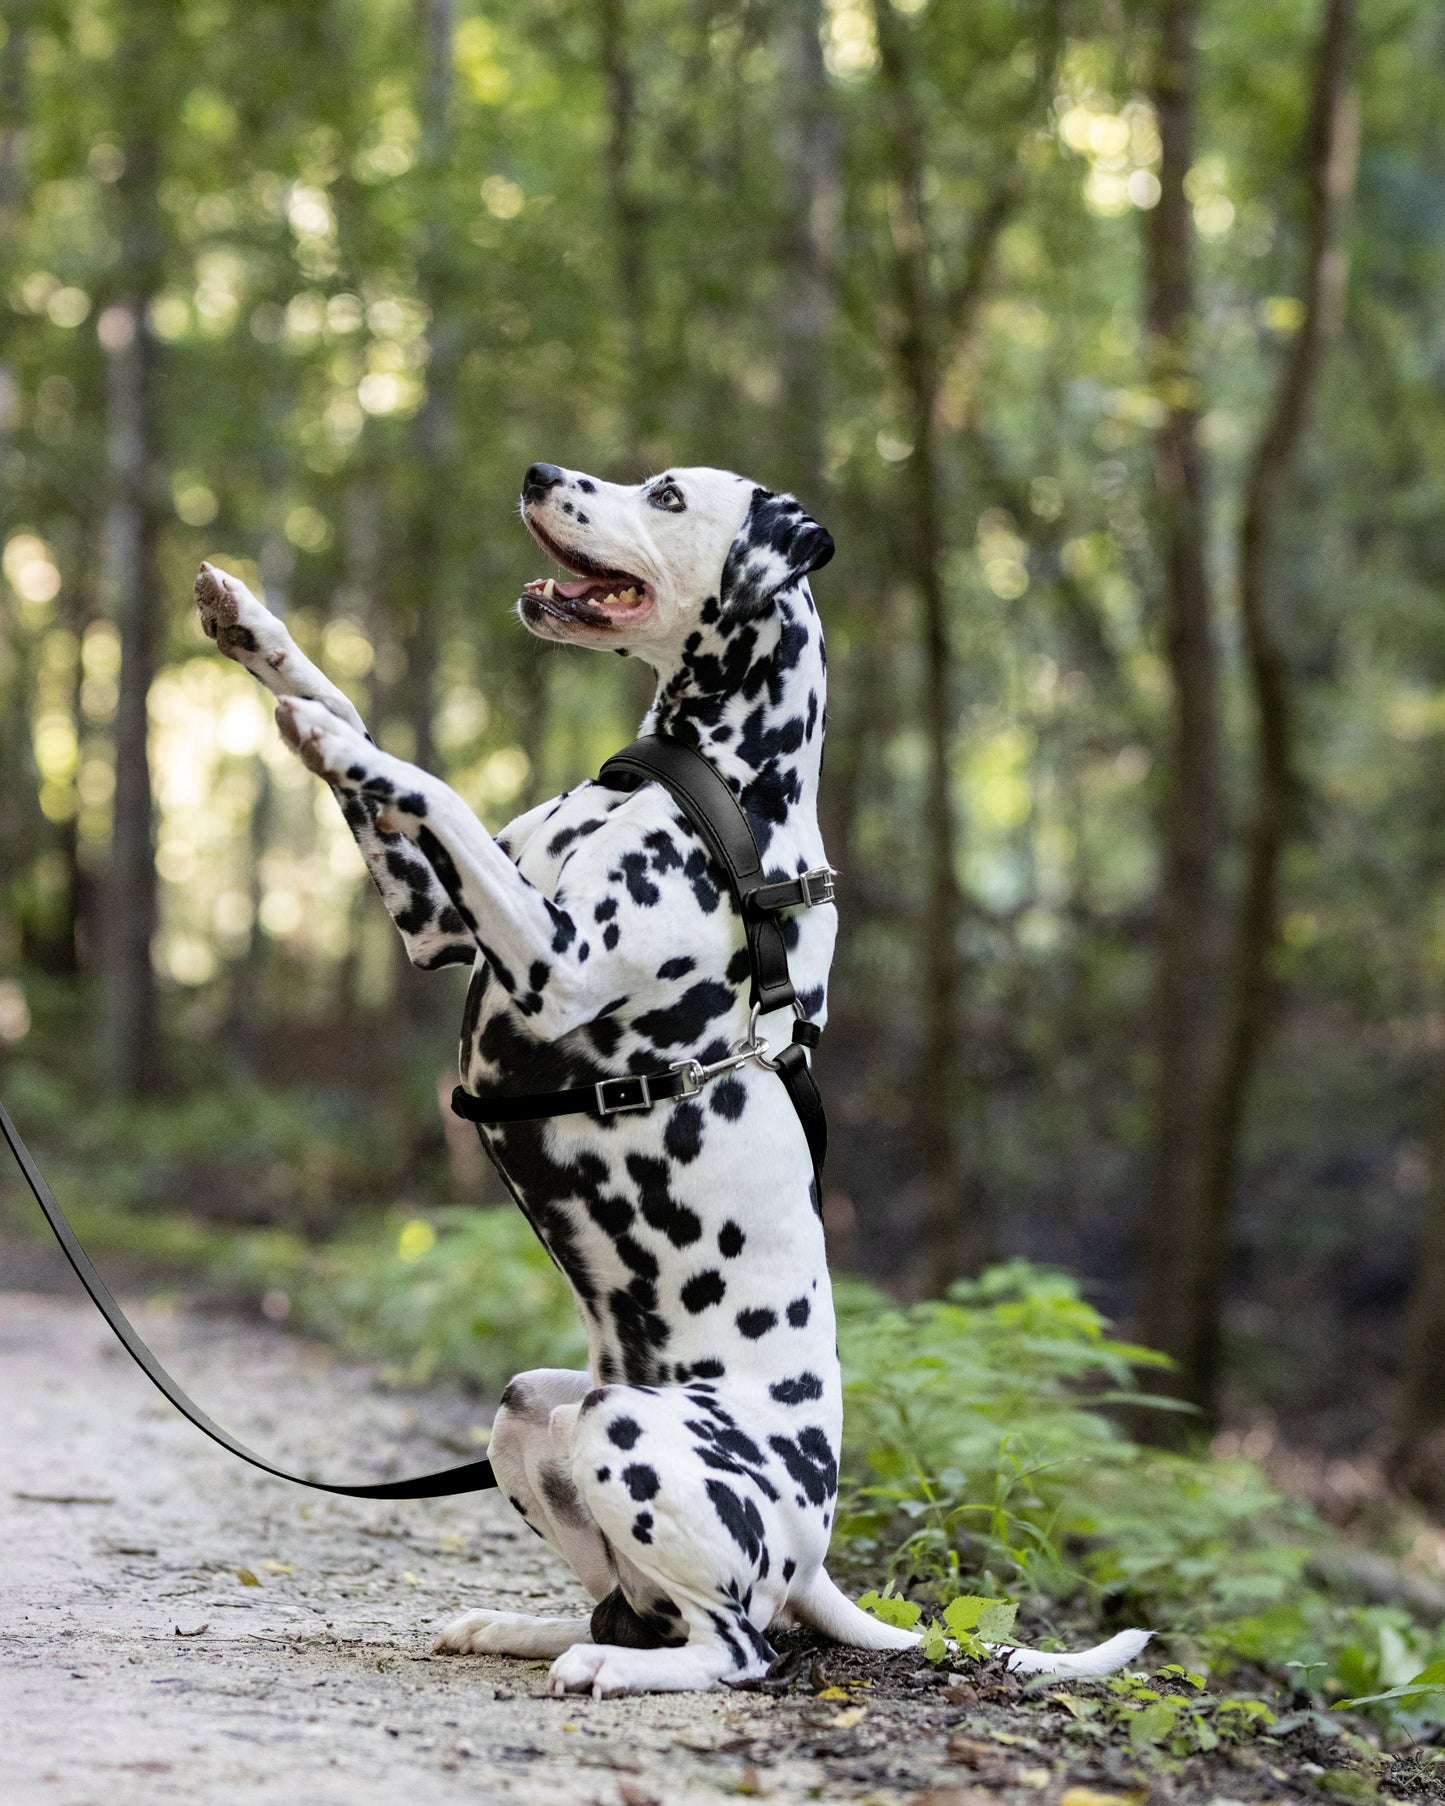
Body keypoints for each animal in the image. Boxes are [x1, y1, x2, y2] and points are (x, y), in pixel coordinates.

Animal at [195, 462, 1148, 1690]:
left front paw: (320, 729)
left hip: (630, 1439)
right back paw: (526, 1631)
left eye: (665, 494)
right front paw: (257, 637)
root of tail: (812, 1554)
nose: (538, 473)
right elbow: (368, 723)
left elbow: (424, 777)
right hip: (532, 1412)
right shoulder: (439, 923)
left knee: (736, 1651)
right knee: (624, 1605)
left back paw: (619, 1670)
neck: (709, 783)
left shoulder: (550, 961)